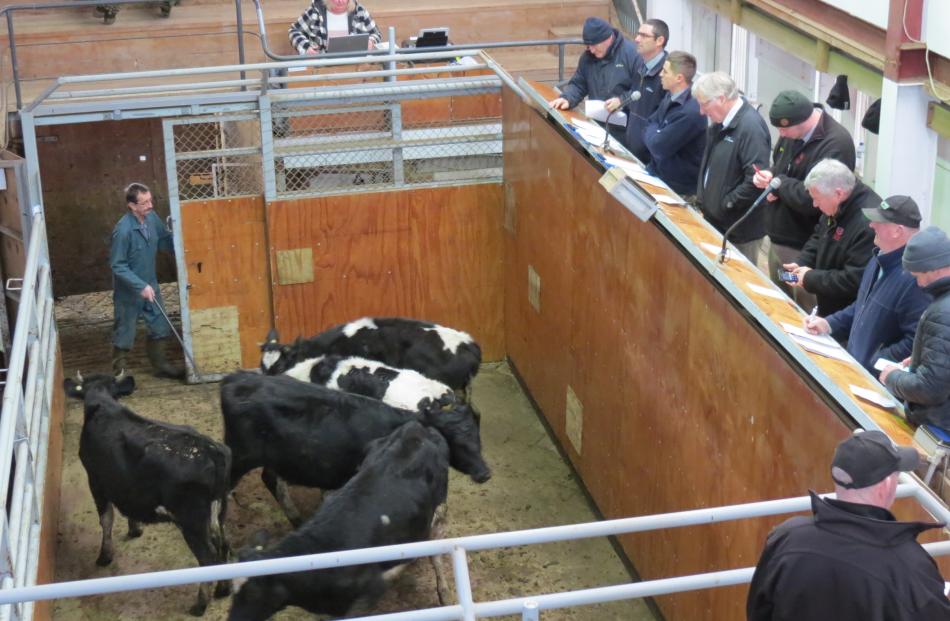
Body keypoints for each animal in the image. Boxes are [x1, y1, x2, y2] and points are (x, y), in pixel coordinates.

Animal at [63, 372, 232, 616]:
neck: (103, 405)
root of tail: (212, 450)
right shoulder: (127, 487)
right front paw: (135, 529)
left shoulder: (95, 480)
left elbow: (106, 519)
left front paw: (105, 555)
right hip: (219, 510)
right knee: (224, 544)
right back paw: (224, 589)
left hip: (192, 522)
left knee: (208, 557)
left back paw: (200, 605)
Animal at [222, 370, 490, 524]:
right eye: (458, 437)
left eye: (476, 433)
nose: (484, 472)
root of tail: (236, 378)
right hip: (238, 459)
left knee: (270, 479)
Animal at [231, 422, 454, 620]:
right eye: (231, 590)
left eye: (253, 593)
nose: (234, 618)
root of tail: (416, 428)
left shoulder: (370, 592)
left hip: (439, 507)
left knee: (435, 547)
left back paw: (443, 592)